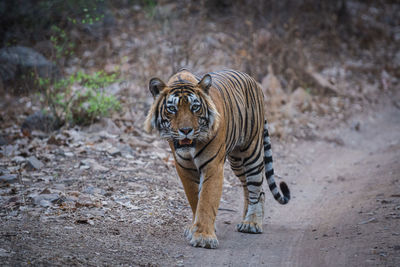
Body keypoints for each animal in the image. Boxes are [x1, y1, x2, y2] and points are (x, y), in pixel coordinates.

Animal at [144, 68, 290, 249]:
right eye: (172, 108)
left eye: (195, 107)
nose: (186, 130)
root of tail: (254, 81)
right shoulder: (184, 167)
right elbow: (195, 199)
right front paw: (196, 228)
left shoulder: (212, 166)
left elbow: (207, 200)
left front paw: (204, 237)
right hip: (236, 160)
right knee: (248, 187)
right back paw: (245, 219)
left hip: (251, 152)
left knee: (257, 188)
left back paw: (252, 223)